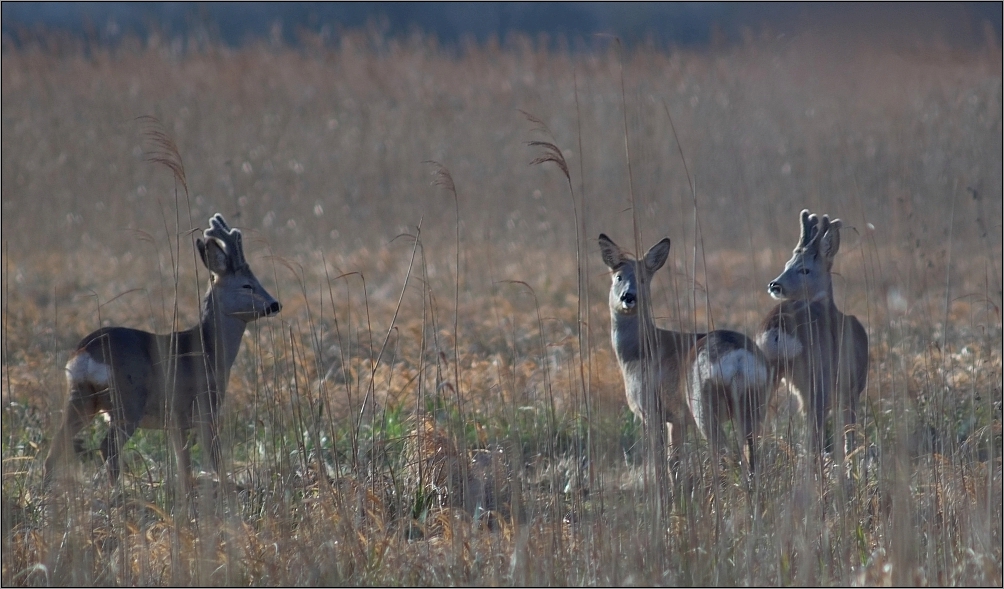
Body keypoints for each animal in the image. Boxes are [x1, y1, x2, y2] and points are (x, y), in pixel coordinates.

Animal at [42, 214, 279, 491]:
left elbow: (183, 464)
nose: (275, 304)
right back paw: (115, 490)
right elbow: (214, 457)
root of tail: (87, 352)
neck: (209, 350)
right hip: (128, 400)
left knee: (56, 445)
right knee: (107, 446)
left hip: (81, 397)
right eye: (247, 285)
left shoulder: (176, 420)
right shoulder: (204, 406)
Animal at [598, 234, 771, 475]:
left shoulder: (651, 408)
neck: (638, 351)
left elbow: (659, 462)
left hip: (702, 402)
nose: (628, 297)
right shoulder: (677, 419)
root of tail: (739, 359)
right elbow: (675, 462)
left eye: (643, 279)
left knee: (726, 453)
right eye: (618, 277)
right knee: (751, 456)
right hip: (754, 402)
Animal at [755, 209, 867, 459]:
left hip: (767, 372)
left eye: (803, 268)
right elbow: (849, 433)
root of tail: (777, 325)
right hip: (818, 378)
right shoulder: (852, 386)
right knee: (814, 432)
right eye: (788, 264)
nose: (774, 285)